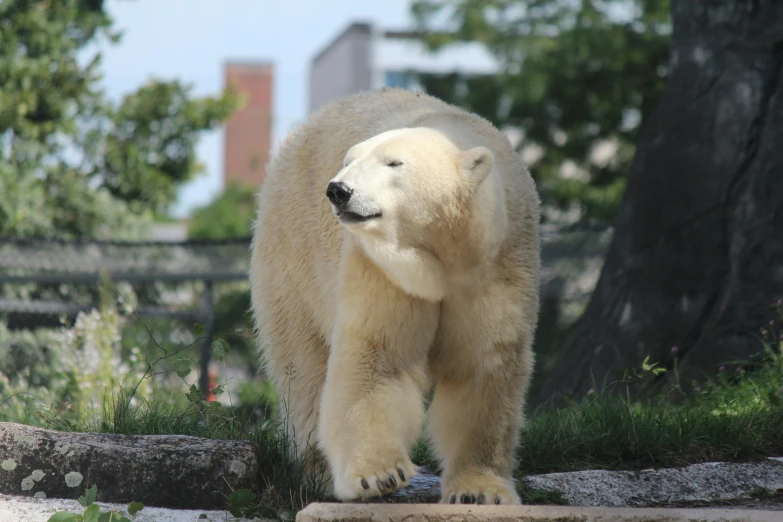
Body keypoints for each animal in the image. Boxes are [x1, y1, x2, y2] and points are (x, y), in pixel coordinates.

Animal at [250, 88, 540, 504]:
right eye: (350, 160)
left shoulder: (497, 264)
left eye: (394, 163)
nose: (339, 190)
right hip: (291, 255)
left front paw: (479, 490)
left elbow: (483, 363)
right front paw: (378, 475)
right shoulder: (381, 267)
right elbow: (377, 354)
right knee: (301, 365)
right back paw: (315, 470)